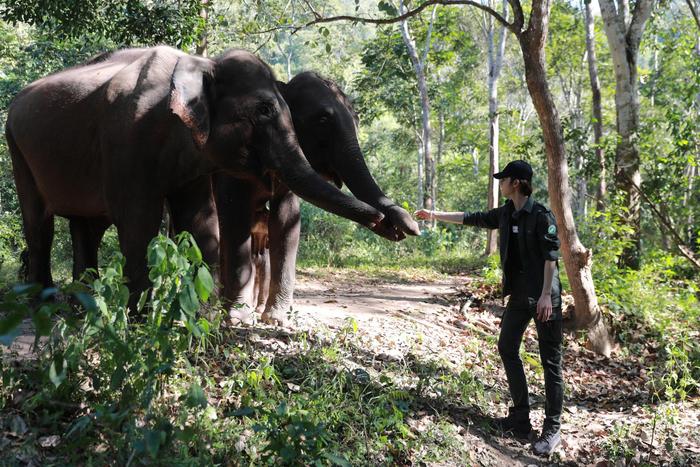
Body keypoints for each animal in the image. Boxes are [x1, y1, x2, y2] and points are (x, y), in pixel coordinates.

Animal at [4, 46, 394, 310]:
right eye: (323, 120)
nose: (386, 221)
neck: (200, 64)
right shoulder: (128, 138)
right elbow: (142, 219)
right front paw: (145, 318)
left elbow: (210, 219)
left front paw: (208, 314)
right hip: (17, 147)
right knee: (39, 225)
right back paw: (43, 303)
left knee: (87, 226)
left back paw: (82, 303)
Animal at [216, 72, 418, 326]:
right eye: (322, 119)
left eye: (356, 119)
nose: (407, 227)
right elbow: (233, 214)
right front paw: (237, 318)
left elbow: (286, 220)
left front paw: (276, 319)